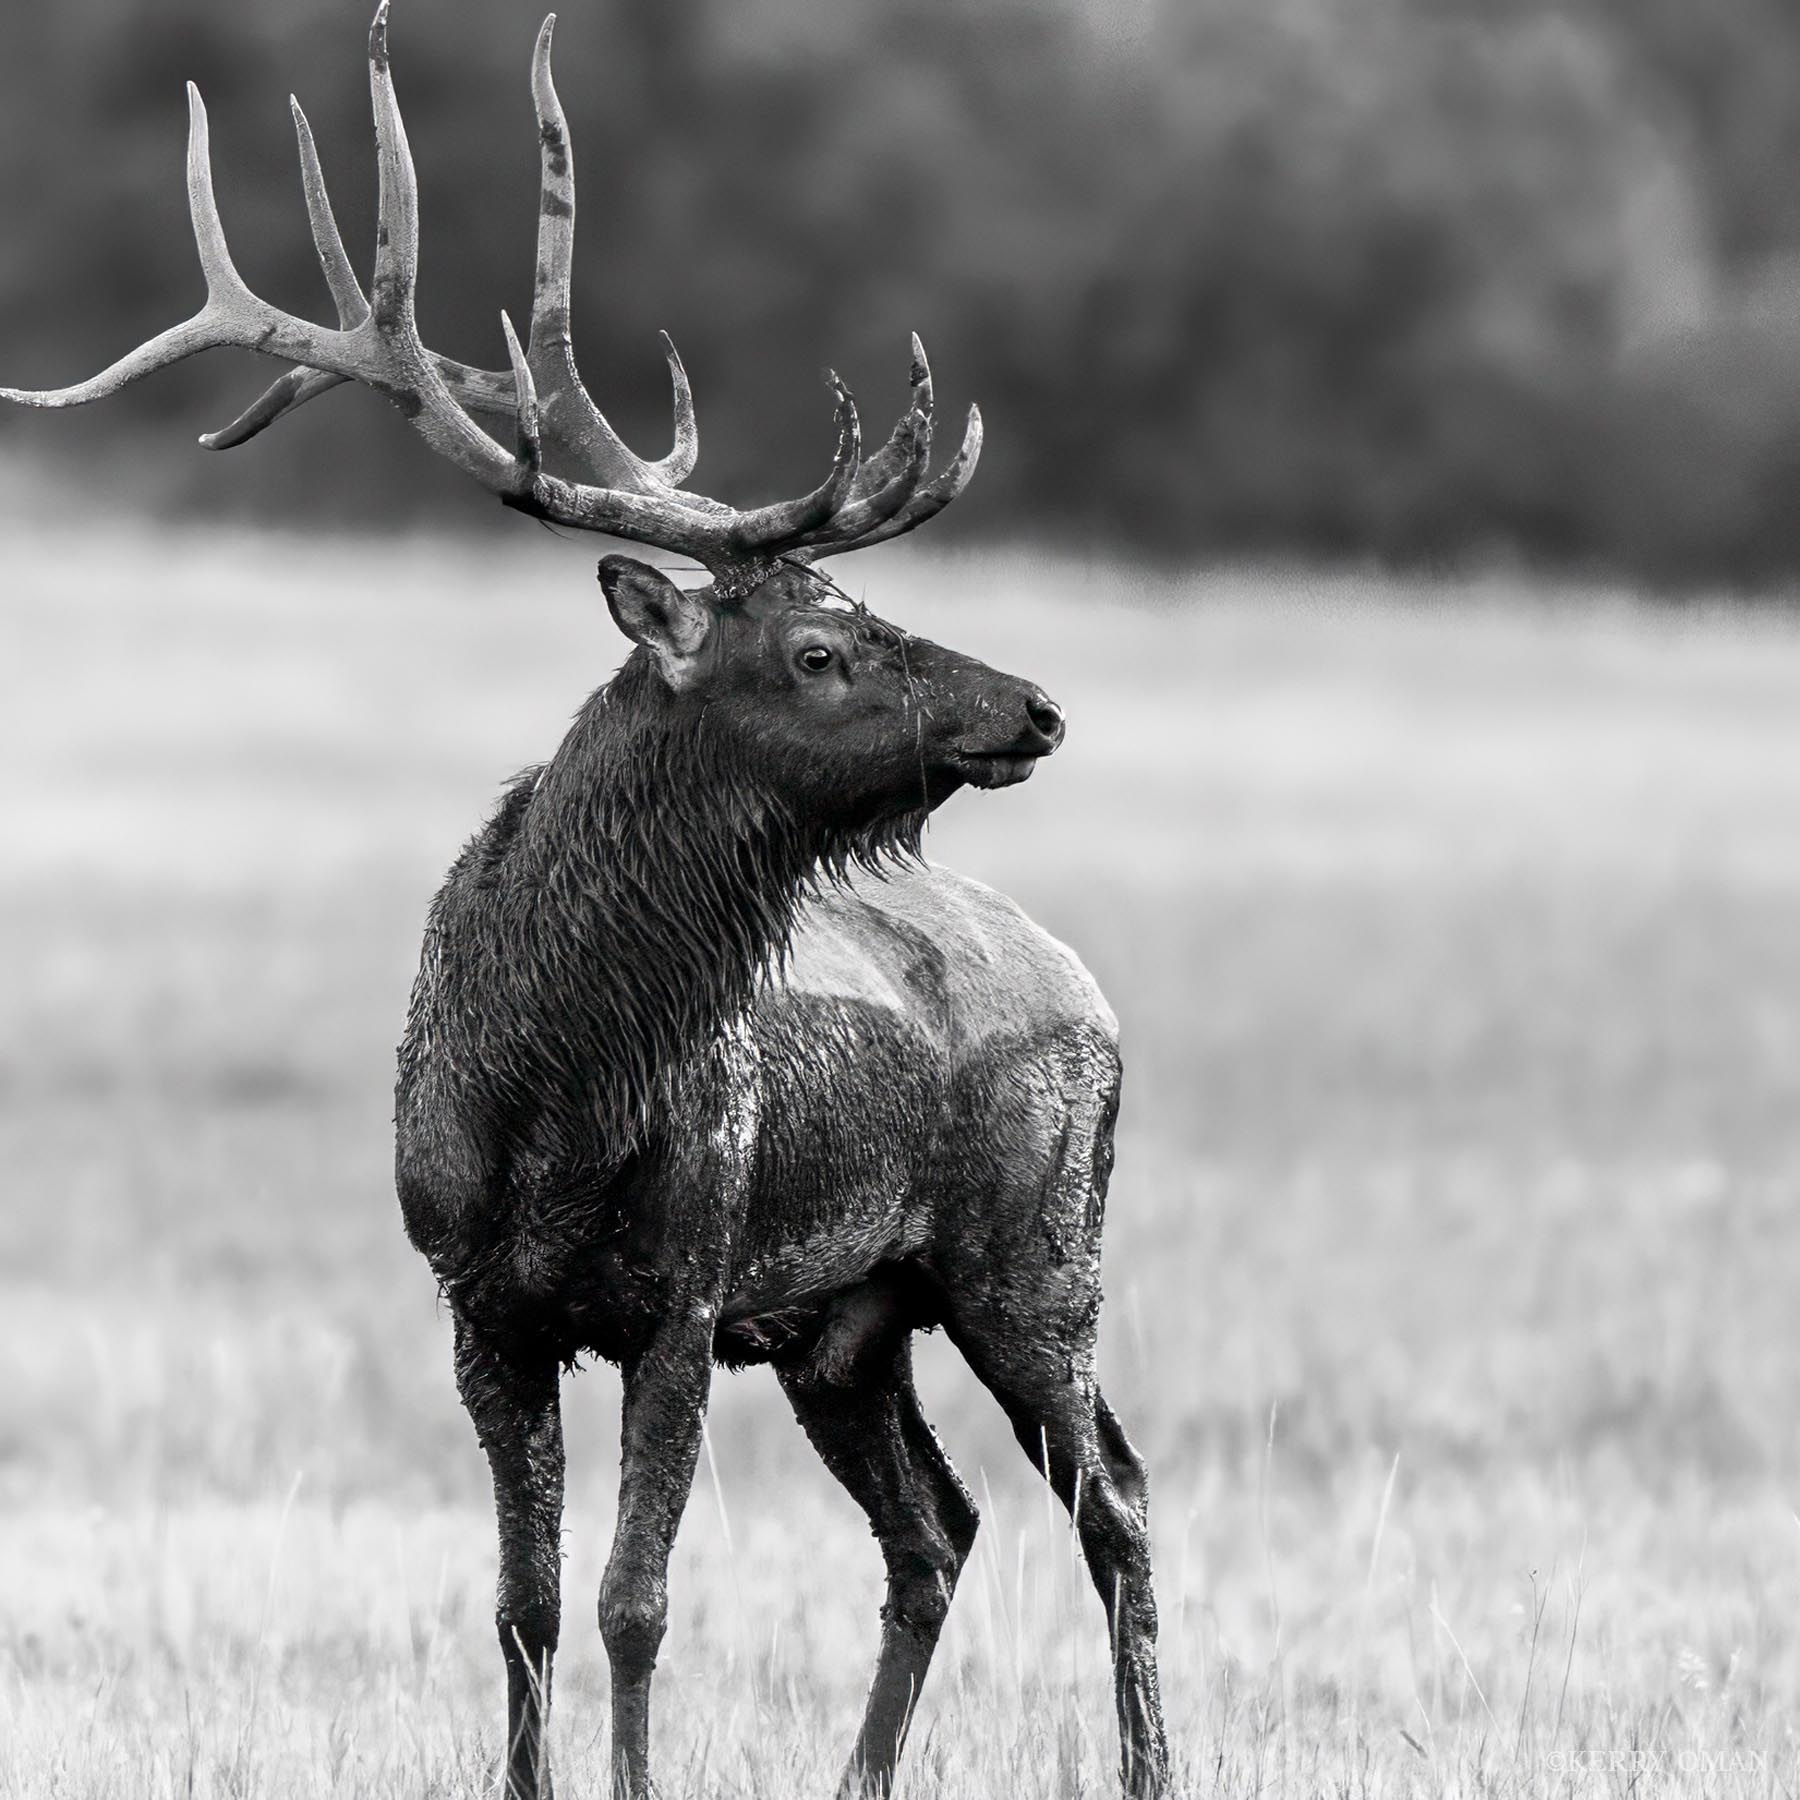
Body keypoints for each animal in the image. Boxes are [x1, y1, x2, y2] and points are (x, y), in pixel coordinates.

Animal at [0, 10, 1170, 1799]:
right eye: (818, 645)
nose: (1035, 706)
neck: (549, 1082)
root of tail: (1090, 994)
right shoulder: (483, 1307)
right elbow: (524, 1604)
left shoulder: (683, 1293)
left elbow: (635, 1600)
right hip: (851, 1322)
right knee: (941, 1527)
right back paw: (865, 1777)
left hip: (1033, 1250)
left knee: (1116, 1499)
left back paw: (1150, 1764)